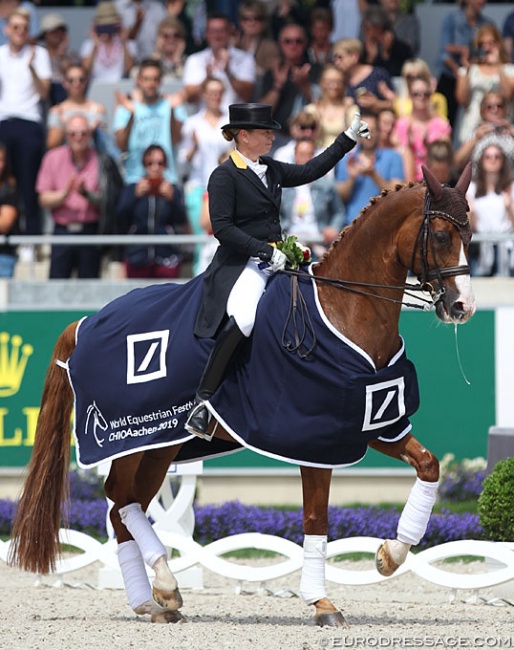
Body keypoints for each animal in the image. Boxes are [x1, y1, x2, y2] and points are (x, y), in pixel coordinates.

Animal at [9, 162, 472, 624]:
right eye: (442, 236)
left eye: (469, 235)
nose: (462, 307)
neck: (344, 309)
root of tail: (85, 322)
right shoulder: (315, 437)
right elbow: (315, 518)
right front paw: (322, 603)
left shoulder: (373, 423)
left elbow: (429, 465)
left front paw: (389, 555)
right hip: (129, 442)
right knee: (121, 499)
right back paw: (164, 585)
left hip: (159, 445)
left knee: (123, 505)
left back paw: (153, 600)